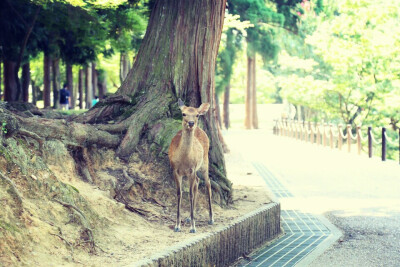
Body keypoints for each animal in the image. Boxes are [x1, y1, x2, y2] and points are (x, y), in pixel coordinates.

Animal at [168, 99, 214, 233]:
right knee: (198, 182)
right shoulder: (175, 170)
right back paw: (188, 217)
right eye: (183, 113)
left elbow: (190, 194)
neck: (184, 160)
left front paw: (193, 228)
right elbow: (179, 194)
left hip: (205, 162)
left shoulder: (191, 170)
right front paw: (177, 226)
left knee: (208, 183)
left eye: (197, 115)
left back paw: (211, 219)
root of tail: (200, 129)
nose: (191, 123)